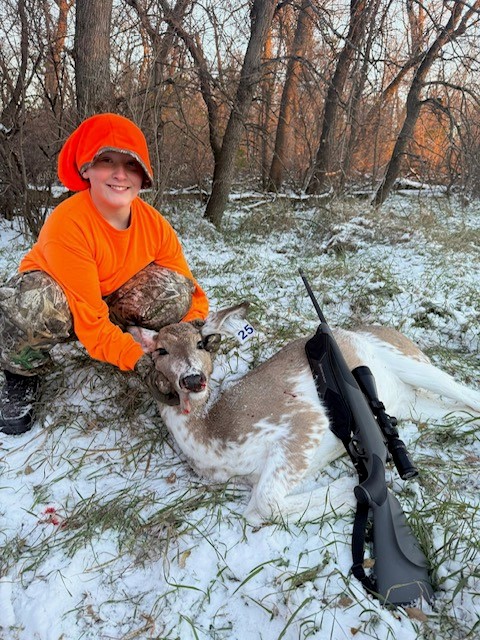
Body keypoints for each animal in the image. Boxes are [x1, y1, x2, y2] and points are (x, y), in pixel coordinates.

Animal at [128, 303, 480, 525]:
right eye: (160, 350)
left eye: (201, 343)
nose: (193, 379)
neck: (210, 436)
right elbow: (257, 509)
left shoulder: (304, 419)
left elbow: (264, 503)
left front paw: (349, 488)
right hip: (412, 404)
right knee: (461, 411)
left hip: (406, 361)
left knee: (468, 394)